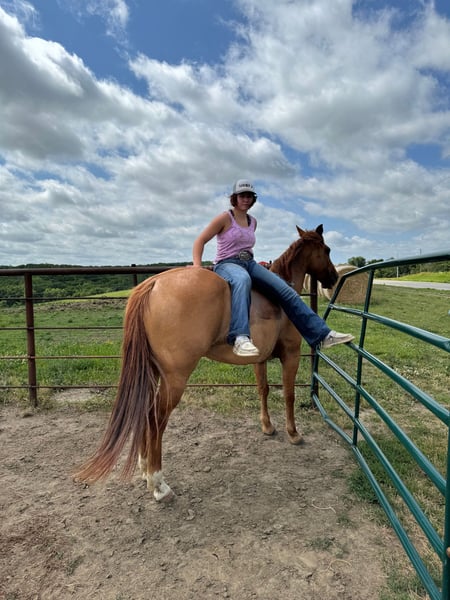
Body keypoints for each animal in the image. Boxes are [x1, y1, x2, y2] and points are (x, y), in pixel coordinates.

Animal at [75, 224, 338, 501]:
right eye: (327, 249)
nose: (333, 278)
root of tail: (153, 284)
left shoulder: (260, 359)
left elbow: (263, 390)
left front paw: (267, 426)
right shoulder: (291, 354)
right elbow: (289, 394)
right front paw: (293, 433)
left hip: (153, 372)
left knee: (146, 415)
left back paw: (145, 468)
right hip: (175, 379)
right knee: (155, 419)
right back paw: (158, 484)